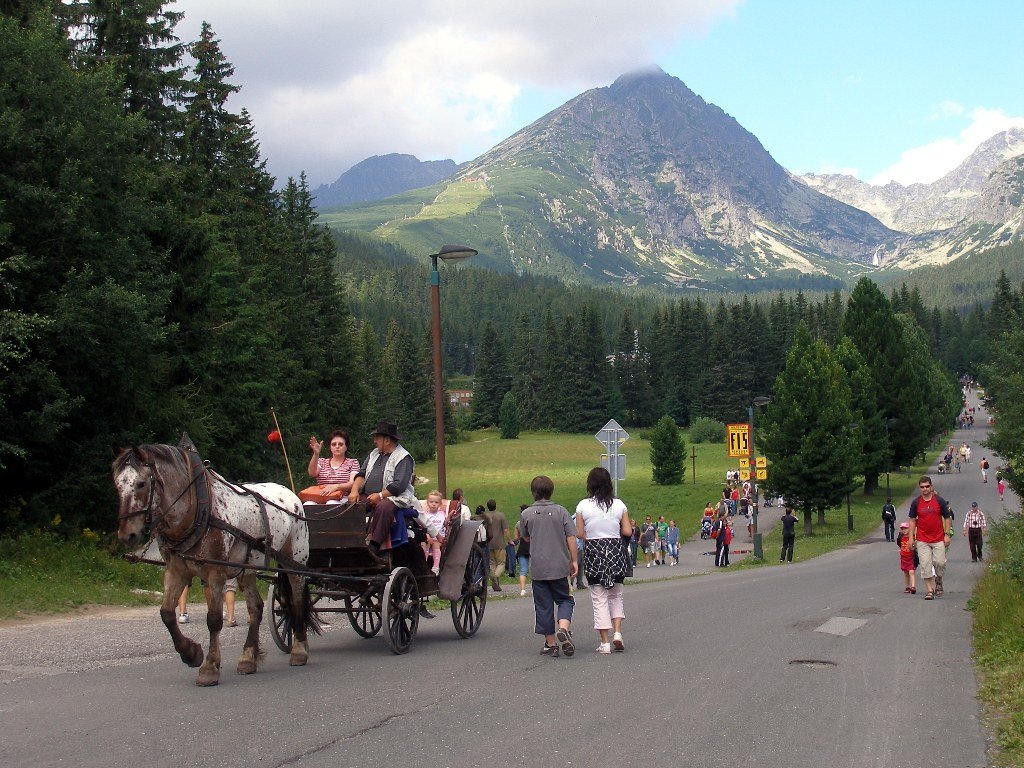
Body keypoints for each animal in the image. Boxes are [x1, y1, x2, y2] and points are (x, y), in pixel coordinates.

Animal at [114, 442, 317, 688]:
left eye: (141, 483)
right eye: (117, 484)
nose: (127, 535)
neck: (197, 510)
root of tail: (292, 495)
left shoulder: (215, 573)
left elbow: (213, 620)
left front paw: (209, 667)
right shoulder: (177, 572)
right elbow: (166, 614)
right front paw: (191, 653)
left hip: (294, 562)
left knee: (296, 603)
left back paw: (299, 651)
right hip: (247, 570)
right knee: (256, 608)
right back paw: (248, 658)